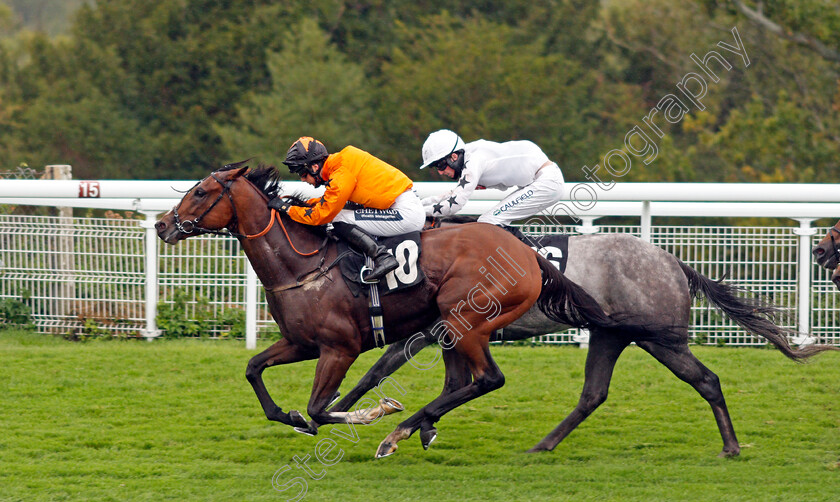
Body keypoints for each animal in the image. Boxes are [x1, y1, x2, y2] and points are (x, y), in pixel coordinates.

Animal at [156, 164, 656, 458]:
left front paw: (372, 413)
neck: (302, 265)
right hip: (453, 326)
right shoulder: (300, 343)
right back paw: (416, 428)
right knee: (464, 382)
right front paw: (292, 419)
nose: (162, 225)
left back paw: (400, 430)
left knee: (488, 379)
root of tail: (526, 253)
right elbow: (254, 370)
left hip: (465, 319)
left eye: (201, 192)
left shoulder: (339, 348)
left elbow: (322, 406)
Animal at [330, 214, 840, 456]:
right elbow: (378, 374)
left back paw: (731, 446)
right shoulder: (435, 332)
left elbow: (381, 373)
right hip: (611, 335)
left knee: (706, 380)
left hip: (661, 339)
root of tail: (673, 261)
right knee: (594, 394)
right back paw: (544, 444)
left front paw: (346, 417)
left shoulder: (427, 332)